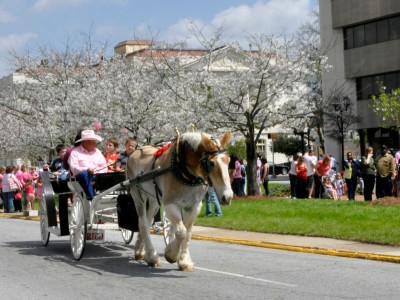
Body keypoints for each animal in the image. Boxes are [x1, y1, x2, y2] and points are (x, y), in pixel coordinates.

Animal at [126, 131, 233, 272]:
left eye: (228, 161)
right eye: (211, 163)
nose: (228, 196)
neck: (183, 168)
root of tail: (135, 152)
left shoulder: (194, 206)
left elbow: (187, 233)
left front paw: (184, 261)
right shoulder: (170, 204)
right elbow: (181, 232)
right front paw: (171, 254)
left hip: (154, 199)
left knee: (146, 222)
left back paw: (141, 251)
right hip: (138, 196)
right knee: (143, 223)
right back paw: (152, 256)